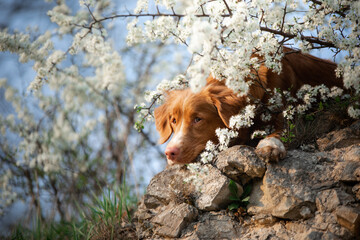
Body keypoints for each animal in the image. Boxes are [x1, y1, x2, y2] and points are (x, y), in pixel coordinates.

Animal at [155, 48, 344, 165]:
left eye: (198, 119)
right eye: (173, 121)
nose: (169, 153)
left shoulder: (290, 115)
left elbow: (281, 132)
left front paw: (270, 146)